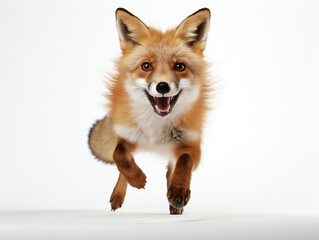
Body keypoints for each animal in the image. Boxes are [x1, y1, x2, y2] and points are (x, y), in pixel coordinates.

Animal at [88, 7, 212, 215]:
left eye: (179, 66)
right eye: (146, 66)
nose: (162, 86)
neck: (157, 127)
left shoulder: (191, 145)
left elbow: (184, 162)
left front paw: (179, 191)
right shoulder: (128, 136)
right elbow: (119, 157)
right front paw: (136, 180)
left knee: (171, 170)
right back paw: (119, 195)